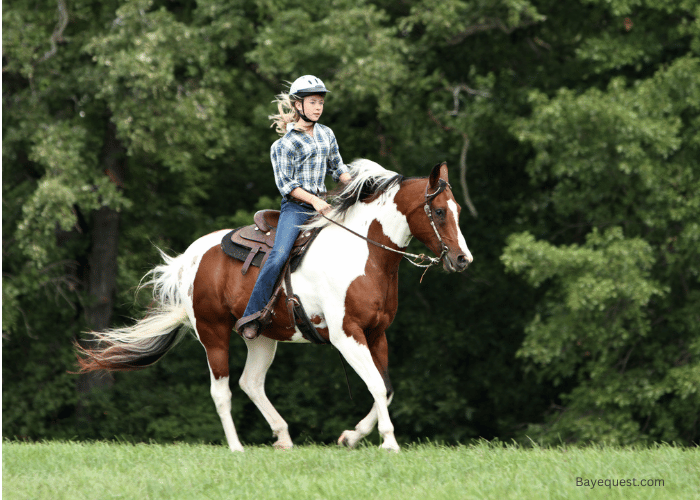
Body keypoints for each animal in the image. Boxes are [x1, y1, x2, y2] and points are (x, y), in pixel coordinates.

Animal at [76, 158, 474, 452]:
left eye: (457, 208)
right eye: (439, 211)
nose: (462, 259)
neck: (364, 253)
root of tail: (190, 258)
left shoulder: (377, 333)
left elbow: (386, 389)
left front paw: (351, 436)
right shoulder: (347, 335)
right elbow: (376, 385)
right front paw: (388, 443)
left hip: (261, 336)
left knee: (251, 382)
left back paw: (283, 437)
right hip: (213, 332)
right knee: (222, 391)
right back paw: (236, 447)